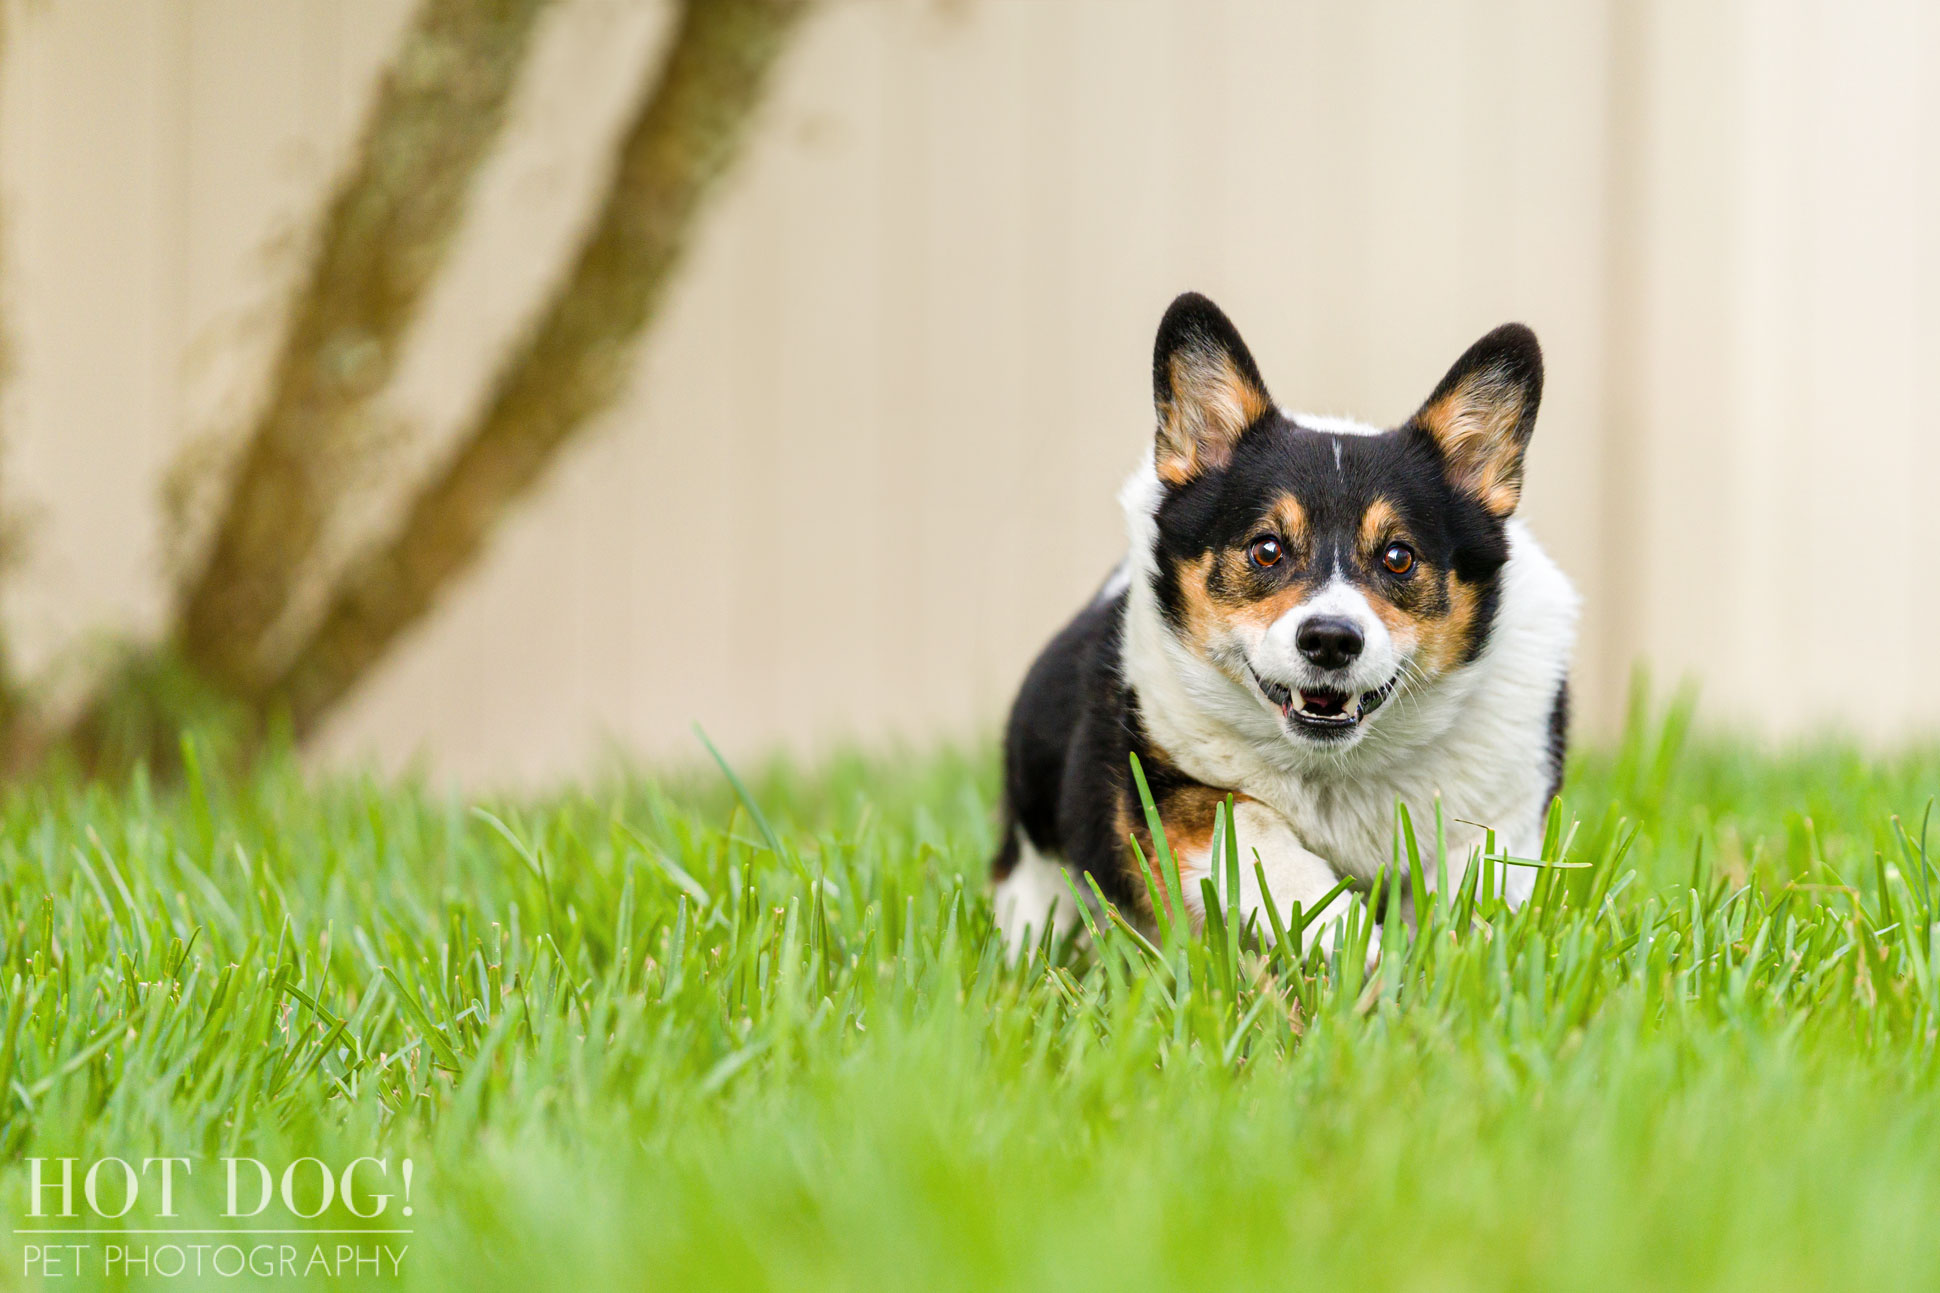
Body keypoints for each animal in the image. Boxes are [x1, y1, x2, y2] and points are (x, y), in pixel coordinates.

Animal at [1001, 295, 1575, 955]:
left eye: (1398, 557)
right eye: (1267, 549)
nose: (1330, 640)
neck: (1337, 770)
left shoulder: (1499, 822)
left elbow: (1469, 898)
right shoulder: (1168, 793)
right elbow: (1258, 840)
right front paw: (1363, 954)